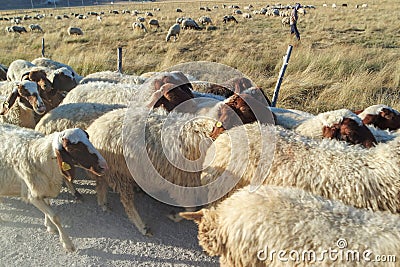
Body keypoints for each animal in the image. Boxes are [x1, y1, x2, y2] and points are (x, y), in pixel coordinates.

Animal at [0, 124, 108, 252]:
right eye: (72, 148)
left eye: (88, 138)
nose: (104, 166)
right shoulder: (33, 196)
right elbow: (55, 217)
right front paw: (67, 243)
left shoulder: (46, 187)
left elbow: (49, 207)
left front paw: (49, 226)